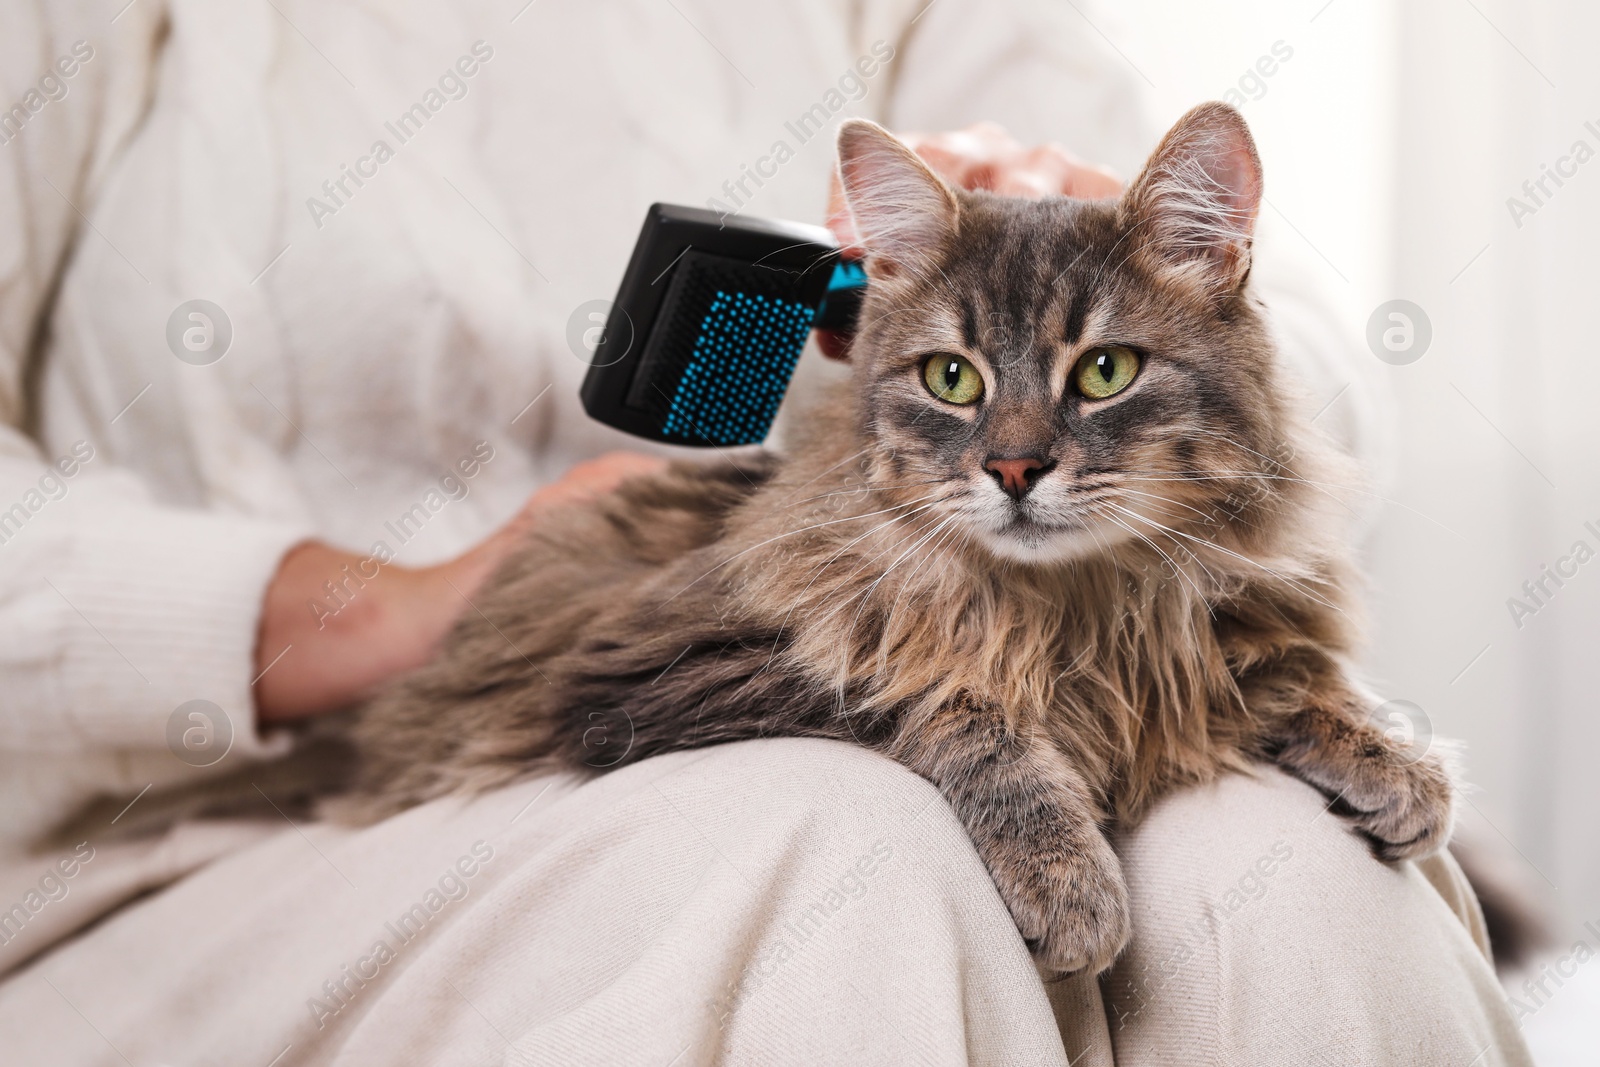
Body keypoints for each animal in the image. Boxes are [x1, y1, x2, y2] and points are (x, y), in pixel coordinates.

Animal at [340, 103, 1465, 972]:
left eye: (1105, 371)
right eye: (951, 379)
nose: (1013, 469)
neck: (1078, 603)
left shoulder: (1198, 622)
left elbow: (1269, 665)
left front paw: (1389, 753)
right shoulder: (653, 672)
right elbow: (942, 694)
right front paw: (1067, 870)